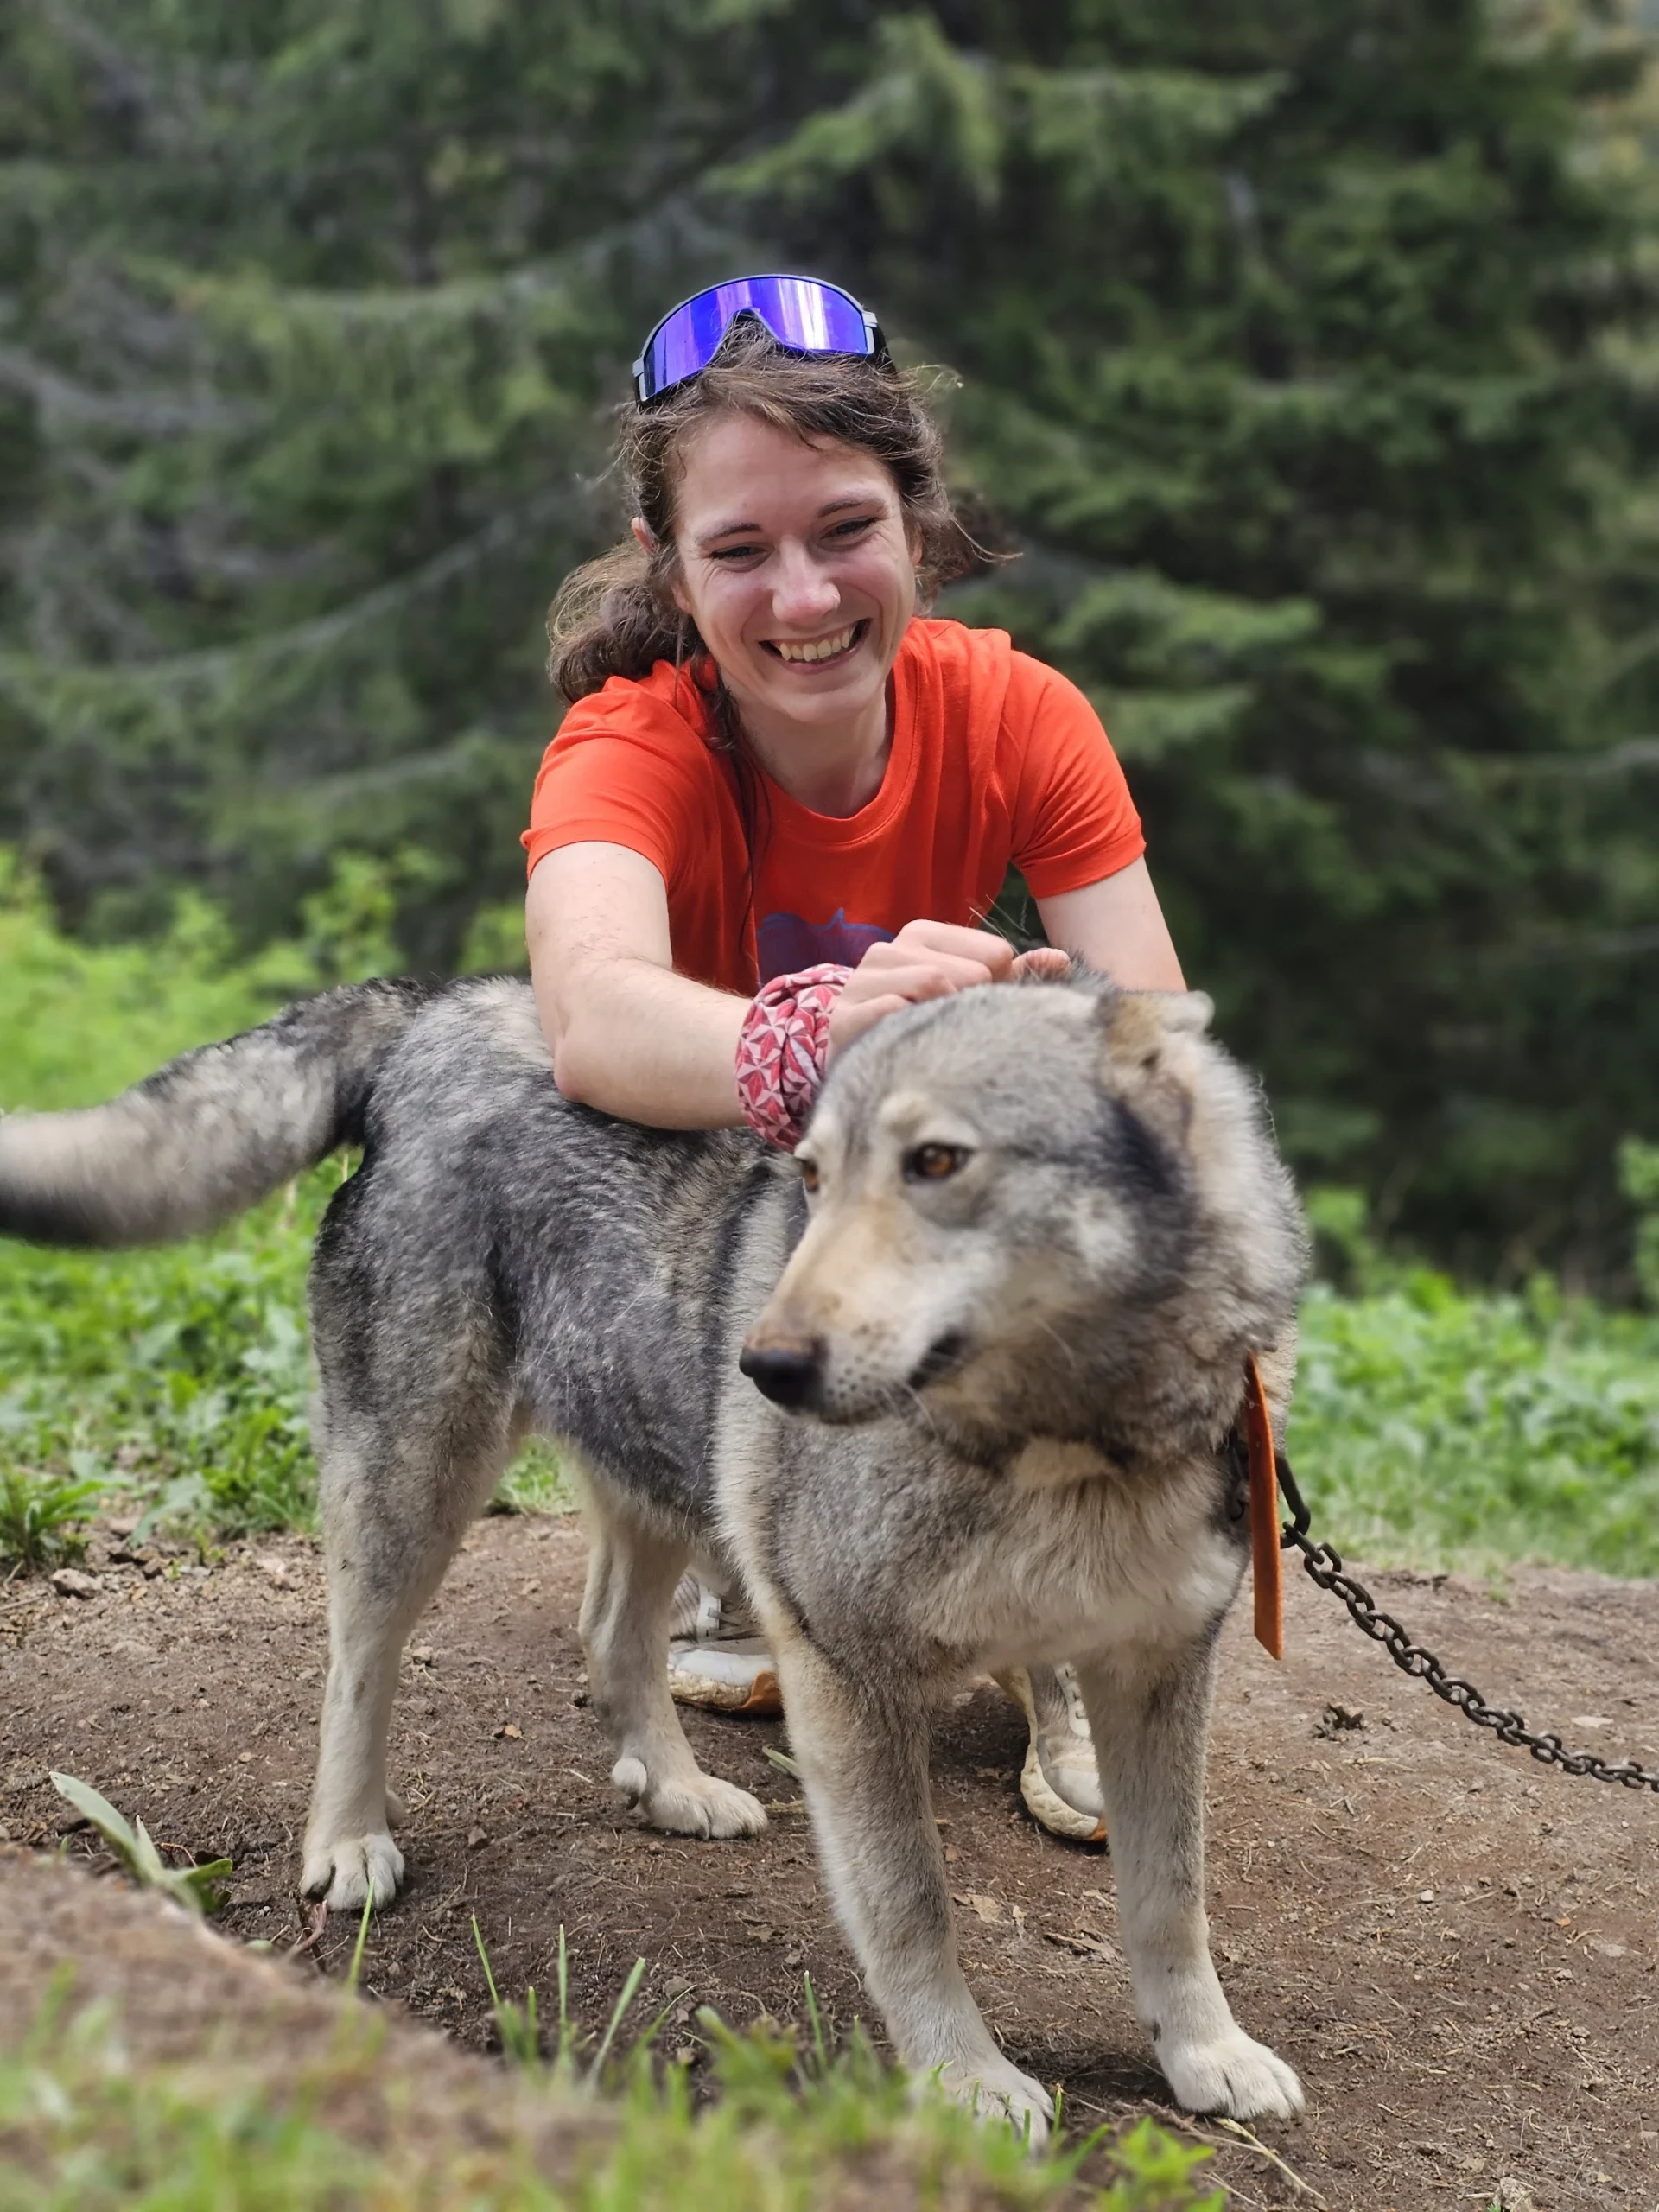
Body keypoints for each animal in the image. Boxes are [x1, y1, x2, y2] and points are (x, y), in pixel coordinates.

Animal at [0, 967, 1308, 2137]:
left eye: (937, 1162)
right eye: (814, 1178)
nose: (764, 1365)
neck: (1063, 1445)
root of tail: (433, 1009)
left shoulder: (1157, 1673)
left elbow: (1170, 1899)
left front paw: (1206, 2054)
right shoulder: (849, 1675)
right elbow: (912, 1906)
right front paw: (965, 2080)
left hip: (657, 1490)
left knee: (610, 1638)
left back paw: (673, 1788)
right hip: (418, 1488)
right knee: (355, 1670)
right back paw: (349, 1842)